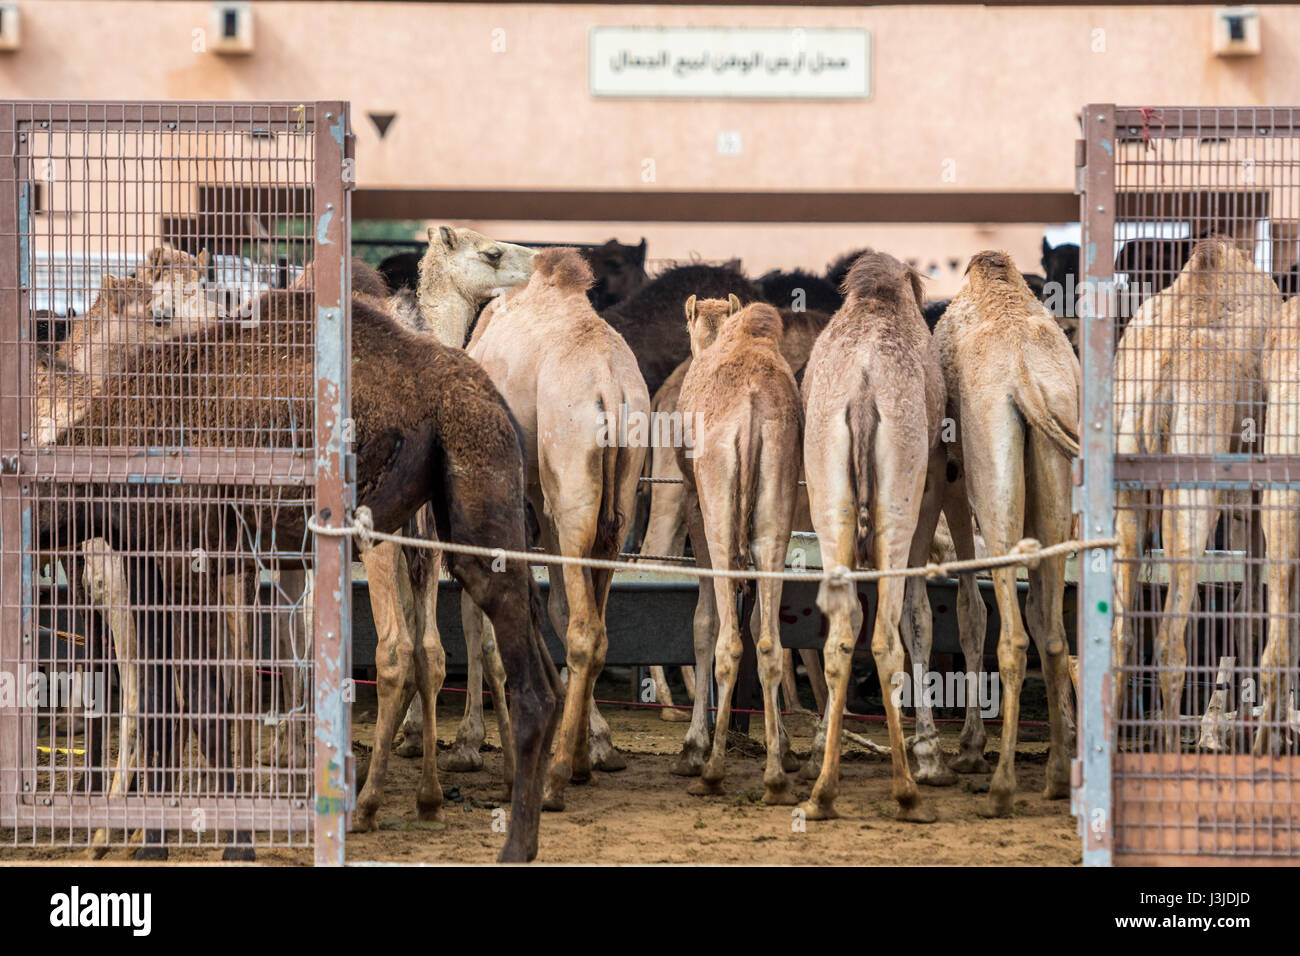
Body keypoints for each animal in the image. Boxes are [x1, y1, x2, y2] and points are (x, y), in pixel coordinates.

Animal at [54, 260, 561, 862]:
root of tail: (494, 398)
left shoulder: (186, 560)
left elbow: (207, 693)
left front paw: (235, 842)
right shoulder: (154, 566)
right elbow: (163, 696)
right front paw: (151, 840)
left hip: (467, 485)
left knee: (503, 672)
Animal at [463, 248, 650, 810]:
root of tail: (610, 386)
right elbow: (557, 603)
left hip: (570, 487)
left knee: (584, 630)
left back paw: (555, 779)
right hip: (615, 508)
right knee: (596, 624)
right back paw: (580, 762)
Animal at [673, 295, 803, 803]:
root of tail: (749, 407)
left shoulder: (693, 499)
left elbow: (703, 620)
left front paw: (692, 747)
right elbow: (756, 620)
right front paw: (785, 748)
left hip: (717, 503)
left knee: (729, 638)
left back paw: (711, 770)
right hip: (777, 503)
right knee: (768, 641)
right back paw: (775, 776)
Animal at [798, 251, 951, 822]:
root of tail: (864, 391)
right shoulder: (929, 485)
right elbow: (919, 615)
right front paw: (931, 757)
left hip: (827, 495)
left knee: (842, 634)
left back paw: (823, 790)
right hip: (900, 496)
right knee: (886, 635)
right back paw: (907, 791)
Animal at [934, 250, 1079, 816]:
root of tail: (1027, 379)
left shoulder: (952, 478)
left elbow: (969, 612)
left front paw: (969, 749)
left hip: (990, 471)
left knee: (1013, 635)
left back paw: (999, 787)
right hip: (1055, 474)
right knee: (1053, 633)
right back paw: (1058, 777)